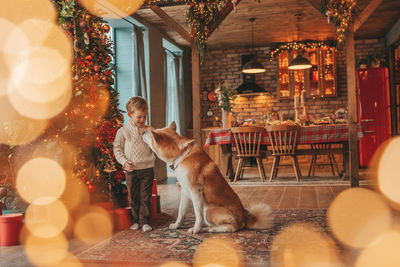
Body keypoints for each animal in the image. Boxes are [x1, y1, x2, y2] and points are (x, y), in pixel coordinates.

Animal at [143, 122, 272, 233]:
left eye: (150, 132)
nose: (143, 132)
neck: (182, 155)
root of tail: (245, 217)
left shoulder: (196, 192)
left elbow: (197, 215)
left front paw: (195, 229)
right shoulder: (185, 192)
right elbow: (181, 212)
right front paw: (176, 225)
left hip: (208, 209)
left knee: (232, 227)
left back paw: (210, 229)